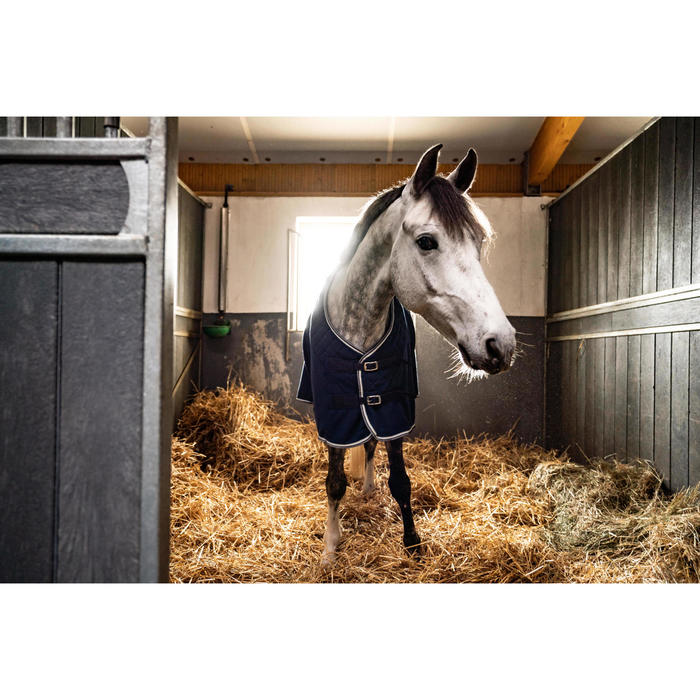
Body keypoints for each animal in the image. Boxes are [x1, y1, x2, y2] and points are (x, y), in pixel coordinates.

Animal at [297, 144, 516, 565]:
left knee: (369, 443)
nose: (501, 344)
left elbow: (399, 478)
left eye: (478, 242)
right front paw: (331, 546)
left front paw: (412, 540)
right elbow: (334, 482)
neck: (361, 320)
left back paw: (368, 488)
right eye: (427, 241)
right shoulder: (334, 412)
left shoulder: (393, 405)